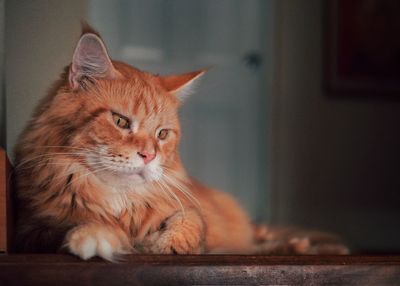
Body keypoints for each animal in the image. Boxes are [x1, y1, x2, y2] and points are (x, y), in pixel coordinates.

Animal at [14, 25, 346, 260]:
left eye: (162, 134)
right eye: (120, 121)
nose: (148, 156)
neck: (120, 199)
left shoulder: (187, 209)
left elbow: (189, 223)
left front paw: (167, 244)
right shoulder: (33, 227)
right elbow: (77, 226)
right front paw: (99, 236)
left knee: (258, 240)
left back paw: (311, 247)